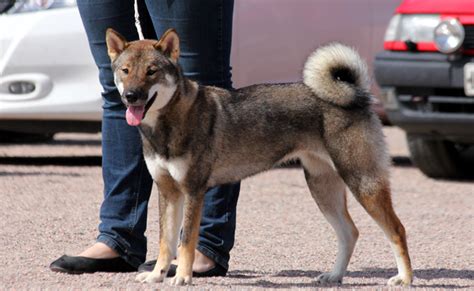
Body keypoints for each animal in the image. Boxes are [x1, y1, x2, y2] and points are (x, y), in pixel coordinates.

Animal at [105, 28, 412, 288]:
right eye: (126, 71)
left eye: (152, 71)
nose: (131, 96)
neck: (167, 123)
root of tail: (357, 97)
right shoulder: (168, 192)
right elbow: (165, 241)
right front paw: (157, 275)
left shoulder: (193, 191)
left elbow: (186, 241)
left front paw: (182, 277)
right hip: (323, 189)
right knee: (350, 233)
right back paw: (335, 276)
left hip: (363, 183)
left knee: (397, 229)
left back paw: (405, 278)